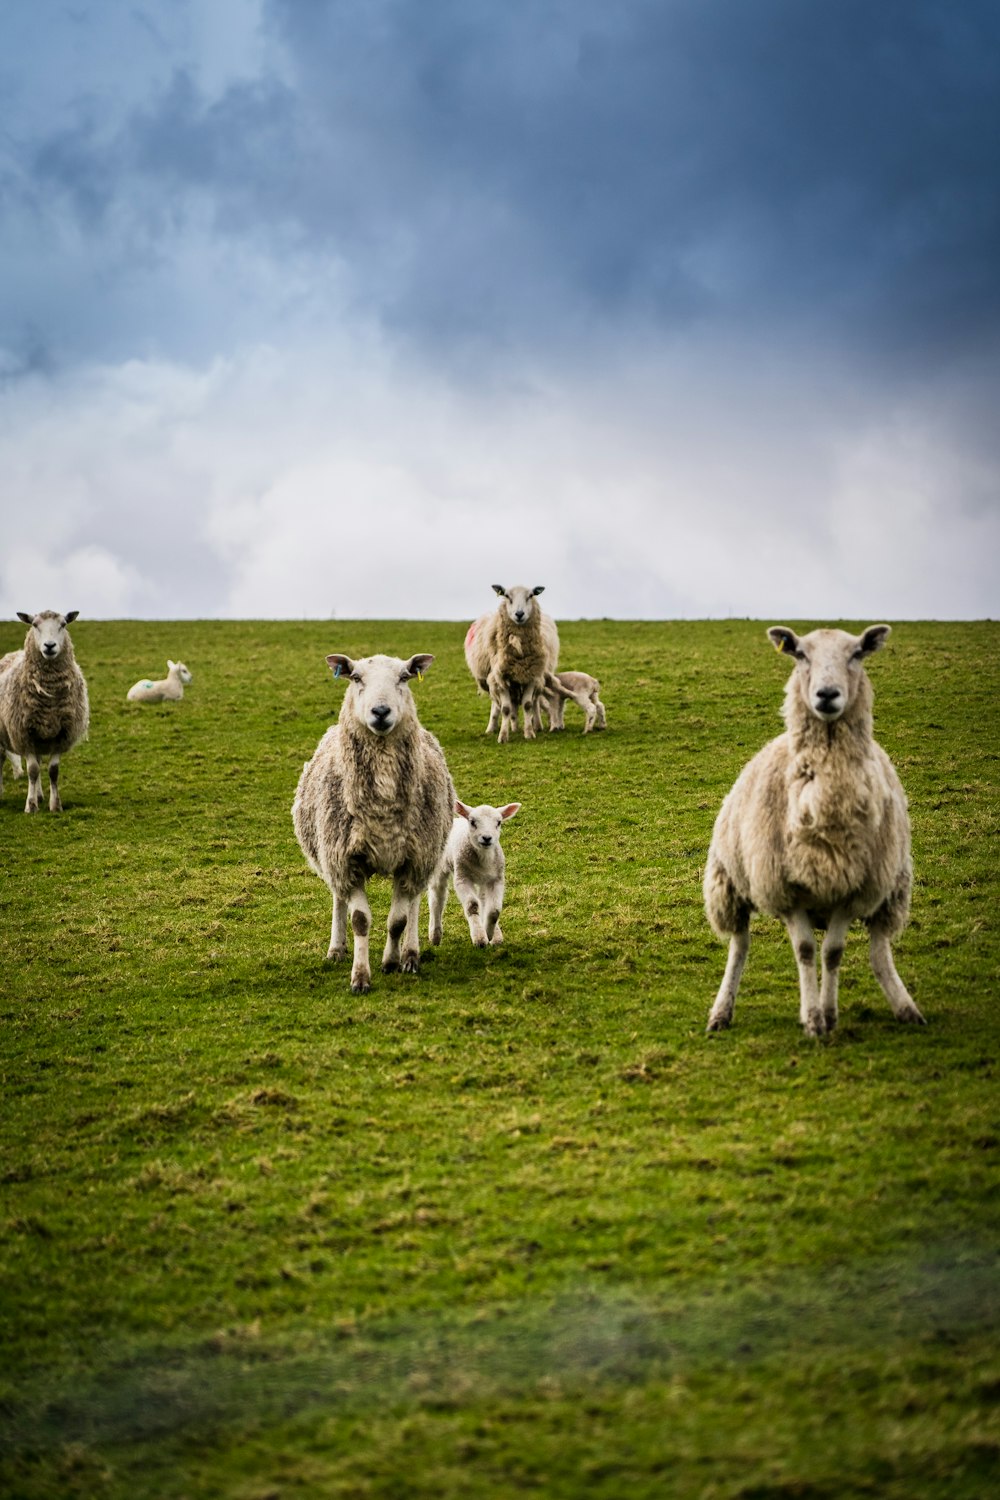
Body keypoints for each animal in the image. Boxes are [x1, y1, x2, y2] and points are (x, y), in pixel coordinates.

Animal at [0, 609, 90, 816]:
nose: (49, 646)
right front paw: (31, 806)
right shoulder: (25, 734)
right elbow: (32, 770)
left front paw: (55, 805)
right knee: (1, 760)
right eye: (34, 625)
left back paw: (40, 795)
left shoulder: (61, 734)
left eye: (63, 624)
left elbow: (52, 771)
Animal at [290, 651, 455, 990]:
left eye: (404, 677)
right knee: (338, 898)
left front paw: (391, 962)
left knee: (415, 902)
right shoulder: (346, 860)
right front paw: (360, 976)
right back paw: (337, 949)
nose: (380, 711)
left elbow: (398, 920)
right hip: (332, 855)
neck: (382, 807)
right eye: (356, 677)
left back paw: (410, 955)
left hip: (423, 857)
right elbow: (360, 920)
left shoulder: (411, 859)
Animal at [428, 798, 521, 948]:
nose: (487, 838)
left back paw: (496, 935)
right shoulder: (462, 878)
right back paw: (435, 935)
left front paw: (489, 934)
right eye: (472, 822)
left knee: (483, 900)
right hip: (440, 868)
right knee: (437, 898)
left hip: (483, 880)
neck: (484, 859)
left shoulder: (496, 879)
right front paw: (480, 938)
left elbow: (494, 910)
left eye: (499, 822)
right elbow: (472, 906)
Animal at [464, 582, 560, 741]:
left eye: (531, 595)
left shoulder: (531, 676)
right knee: (499, 705)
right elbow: (505, 708)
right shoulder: (501, 678)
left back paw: (535, 725)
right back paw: (496, 728)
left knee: (533, 701)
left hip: (537, 677)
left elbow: (528, 704)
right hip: (493, 680)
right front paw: (503, 736)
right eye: (507, 596)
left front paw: (529, 733)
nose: (519, 614)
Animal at [704, 627, 923, 1038]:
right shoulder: (786, 890)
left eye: (857, 653)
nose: (827, 694)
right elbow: (805, 951)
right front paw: (813, 1019)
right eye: (801, 654)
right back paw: (721, 1012)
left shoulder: (852, 893)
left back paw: (904, 1008)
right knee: (739, 946)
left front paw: (826, 1015)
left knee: (878, 948)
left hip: (890, 891)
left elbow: (833, 953)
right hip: (730, 886)